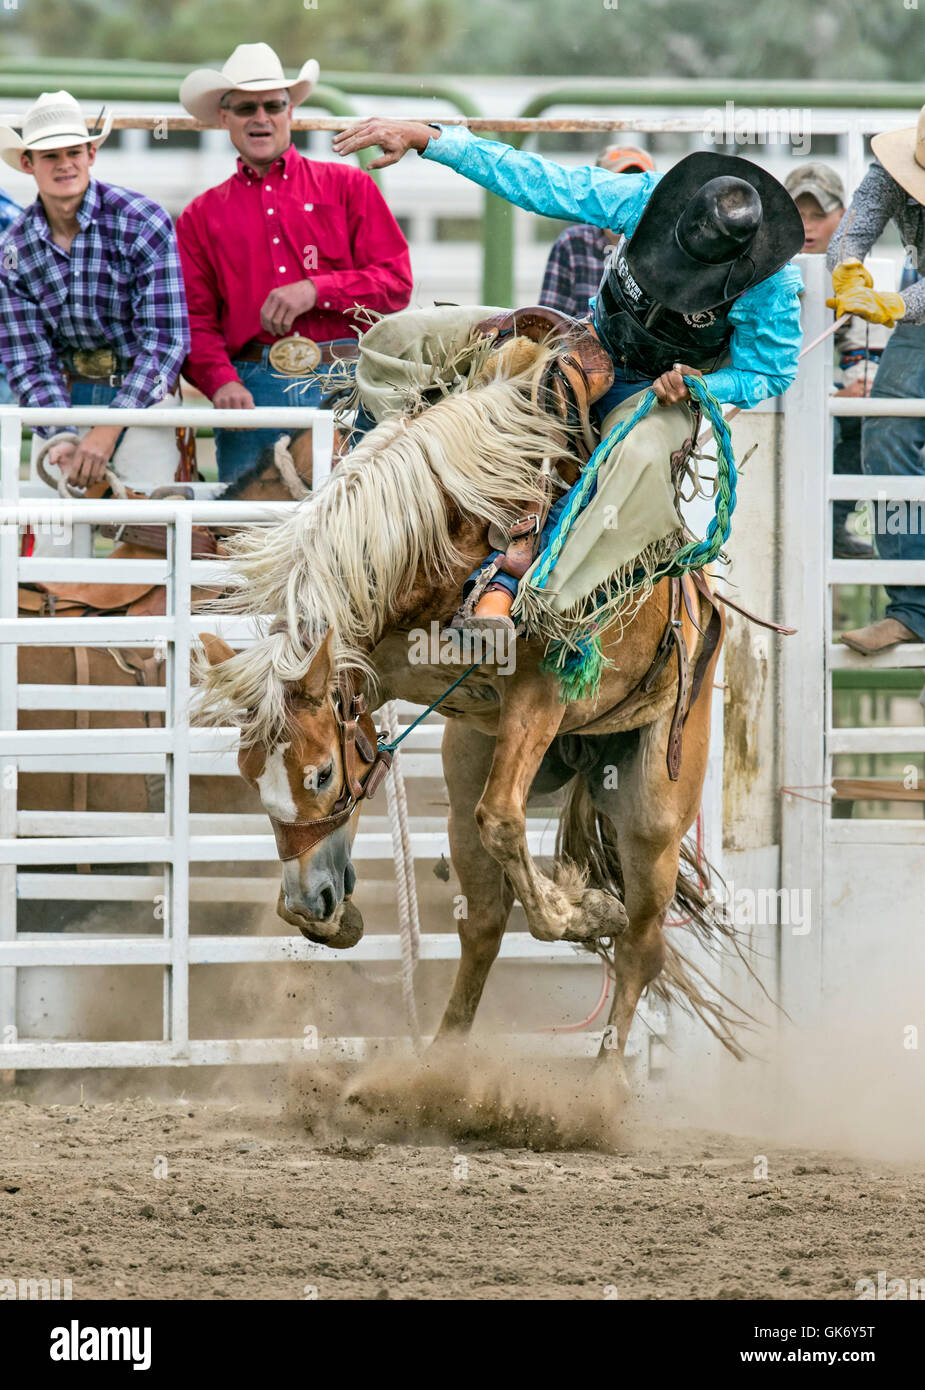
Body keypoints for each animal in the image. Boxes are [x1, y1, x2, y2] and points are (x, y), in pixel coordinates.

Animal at [194, 339, 743, 1082]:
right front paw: (327, 917)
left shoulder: (541, 689)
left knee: (640, 942)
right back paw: (439, 1071)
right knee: (482, 924)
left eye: (321, 775)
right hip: (471, 760)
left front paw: (584, 909)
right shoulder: (374, 669)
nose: (311, 900)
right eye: (250, 777)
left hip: (656, 801)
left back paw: (602, 1079)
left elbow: (505, 822)